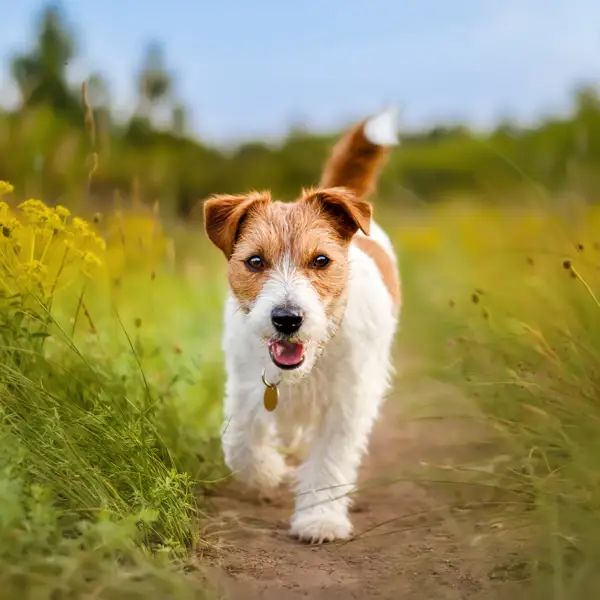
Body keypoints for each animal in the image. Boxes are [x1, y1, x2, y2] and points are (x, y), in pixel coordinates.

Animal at [204, 106, 400, 544]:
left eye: (321, 260)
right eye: (255, 261)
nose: (287, 319)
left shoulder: (348, 402)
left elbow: (329, 462)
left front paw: (320, 519)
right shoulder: (245, 387)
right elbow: (240, 442)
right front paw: (267, 473)